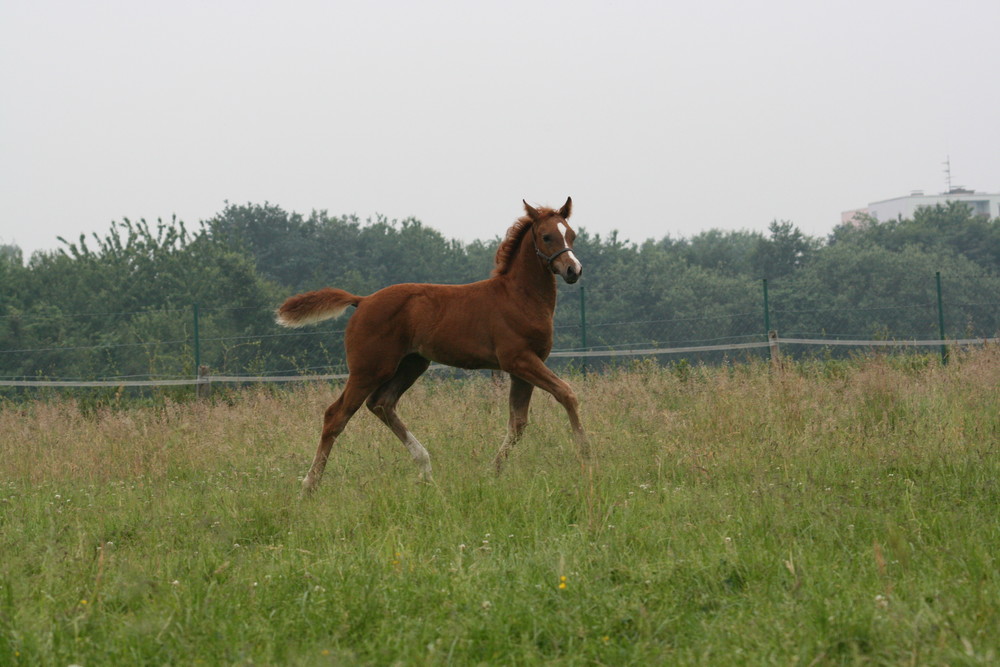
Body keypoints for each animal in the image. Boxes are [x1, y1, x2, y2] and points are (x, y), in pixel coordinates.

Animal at [276, 197, 584, 490]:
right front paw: (587, 454)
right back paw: (310, 484)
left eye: (571, 234)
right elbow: (566, 393)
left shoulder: (524, 367)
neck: (519, 296)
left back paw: (425, 468)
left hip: (411, 364)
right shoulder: (518, 360)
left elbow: (518, 423)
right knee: (336, 415)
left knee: (381, 404)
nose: (573, 270)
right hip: (368, 369)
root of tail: (362, 301)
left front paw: (492, 472)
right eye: (546, 236)